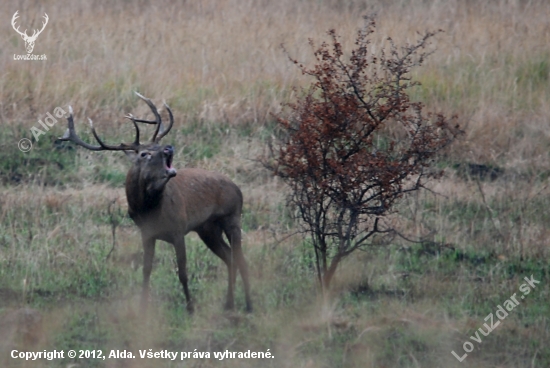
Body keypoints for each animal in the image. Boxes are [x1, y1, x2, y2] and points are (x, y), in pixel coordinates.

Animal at [59, 92, 253, 314]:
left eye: (159, 146)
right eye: (145, 154)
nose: (169, 148)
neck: (150, 210)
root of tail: (238, 189)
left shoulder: (178, 230)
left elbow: (182, 272)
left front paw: (190, 307)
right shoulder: (147, 233)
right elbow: (146, 269)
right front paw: (143, 307)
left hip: (232, 217)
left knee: (241, 259)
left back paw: (248, 305)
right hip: (208, 228)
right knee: (229, 257)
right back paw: (229, 303)